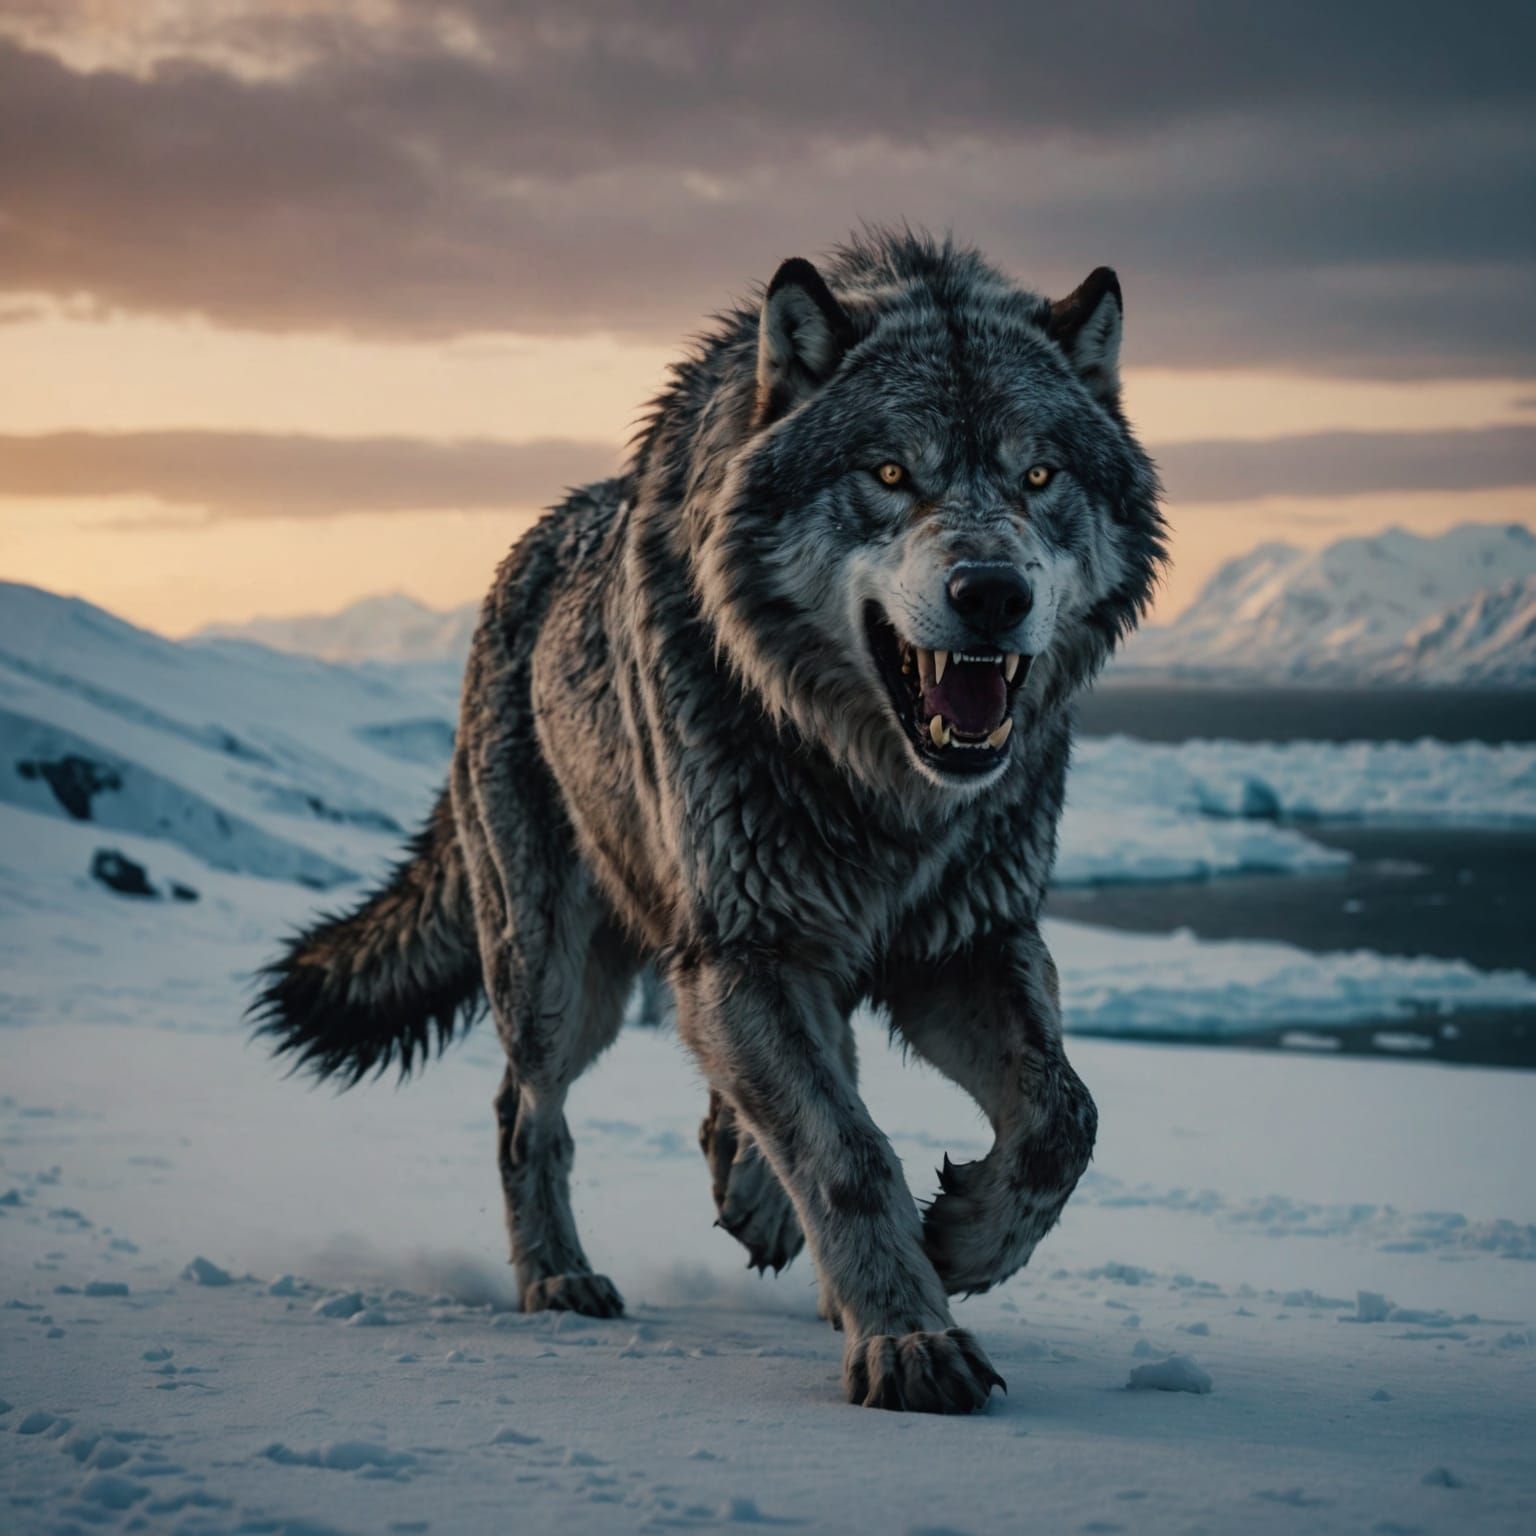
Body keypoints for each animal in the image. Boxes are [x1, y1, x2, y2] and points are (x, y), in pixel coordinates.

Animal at [254, 229, 1166, 1414]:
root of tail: (520, 561)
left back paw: (761, 1207)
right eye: (890, 474)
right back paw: (558, 1278)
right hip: (559, 981)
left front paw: (962, 1243)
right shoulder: (745, 945)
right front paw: (910, 1340)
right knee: (525, 1114)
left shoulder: (967, 941)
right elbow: (848, 1154)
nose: (992, 593)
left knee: (775, 1087)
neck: (879, 786)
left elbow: (1064, 1119)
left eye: (1040, 476)